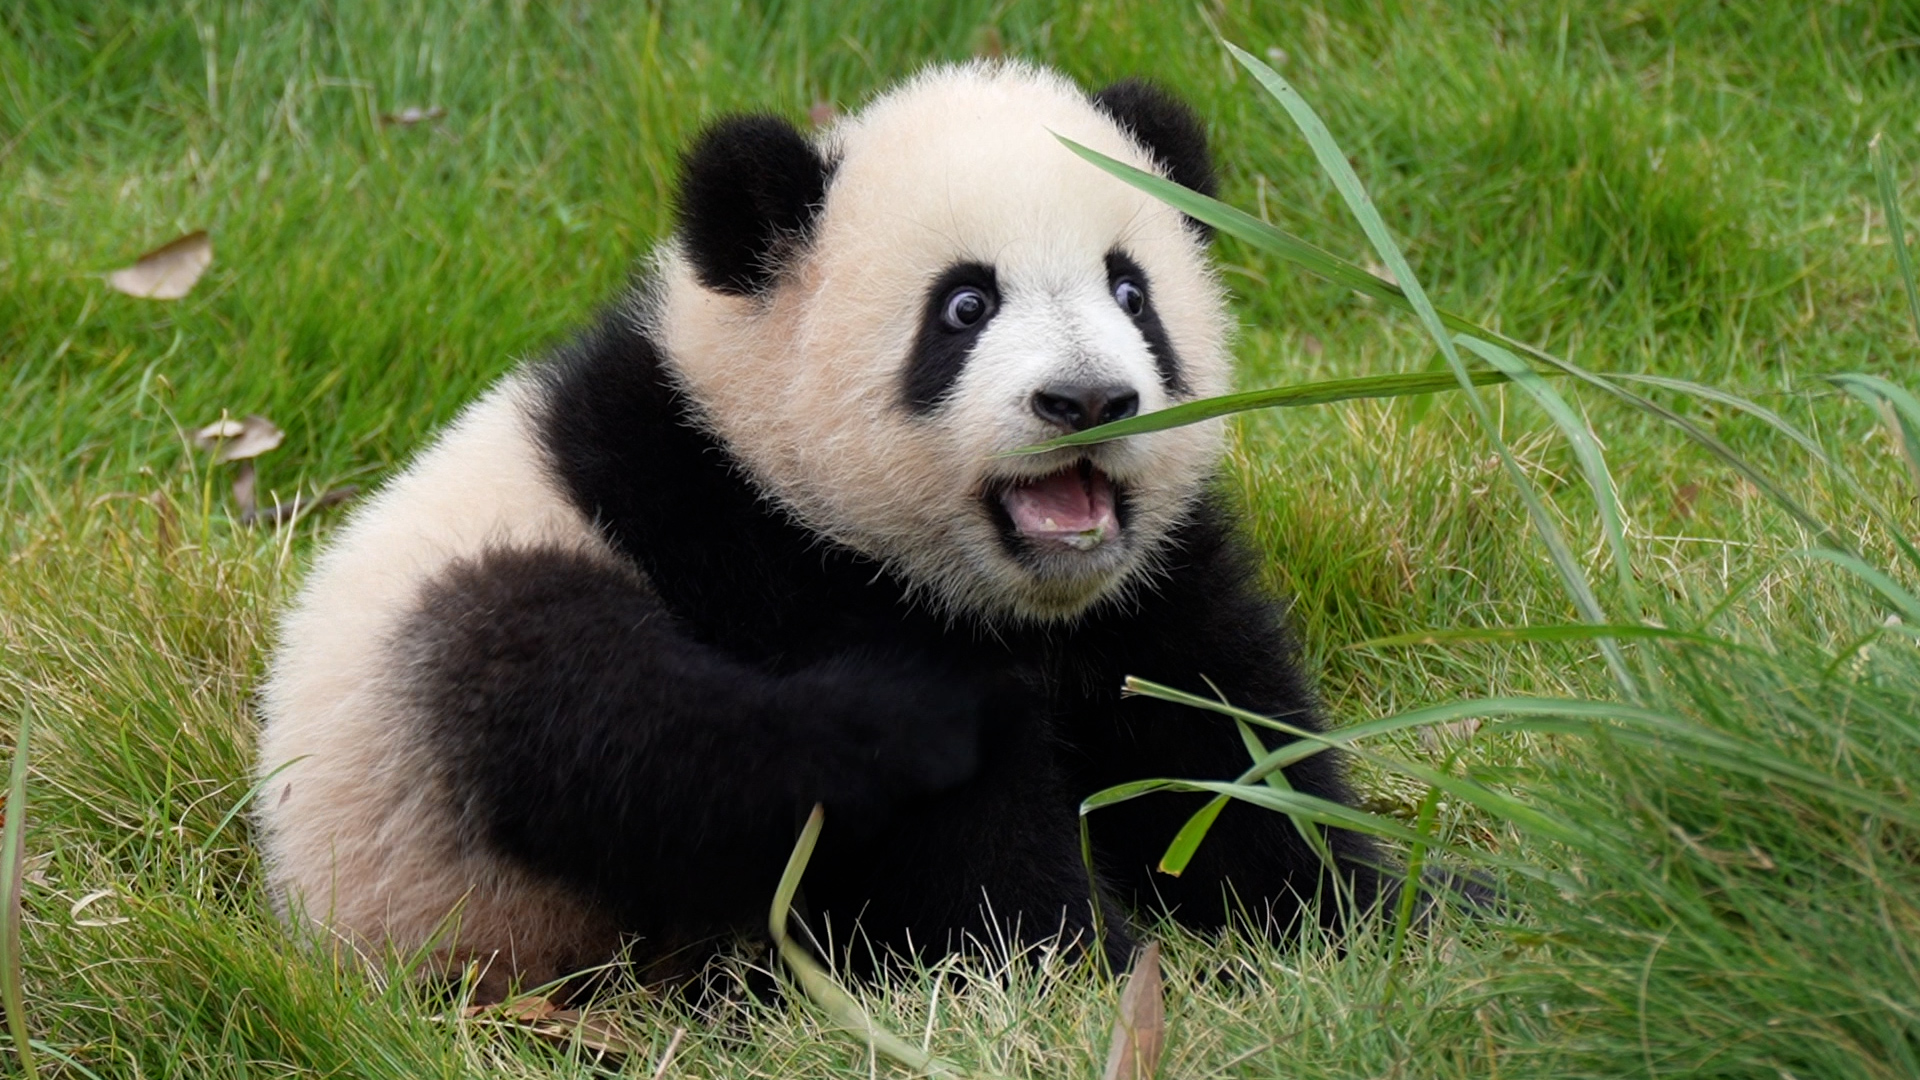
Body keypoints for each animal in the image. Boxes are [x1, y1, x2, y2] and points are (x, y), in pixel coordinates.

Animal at [256, 60, 1390, 998]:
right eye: (965, 307)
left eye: (1131, 291)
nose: (1089, 400)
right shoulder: (740, 538)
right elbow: (962, 849)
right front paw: (1089, 977)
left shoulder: (1142, 592)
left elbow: (1226, 738)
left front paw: (1365, 926)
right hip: (425, 783)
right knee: (585, 702)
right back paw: (899, 729)